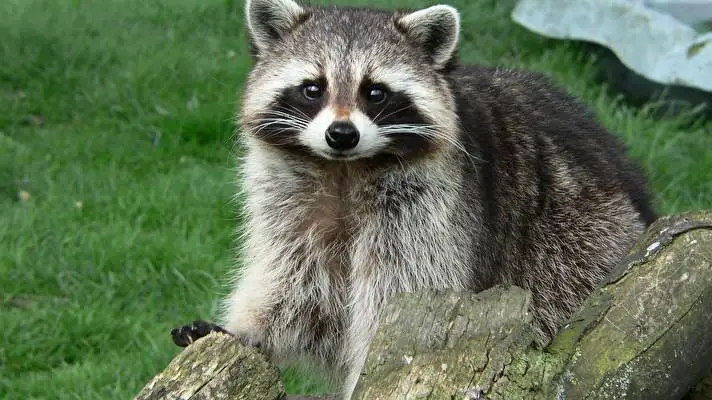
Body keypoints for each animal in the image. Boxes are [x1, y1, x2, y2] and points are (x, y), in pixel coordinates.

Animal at [171, 0, 657, 398]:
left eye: (375, 92)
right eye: (313, 88)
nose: (341, 134)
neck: (344, 170)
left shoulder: (430, 211)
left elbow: (399, 296)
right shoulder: (289, 204)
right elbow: (296, 287)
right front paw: (247, 330)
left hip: (577, 241)